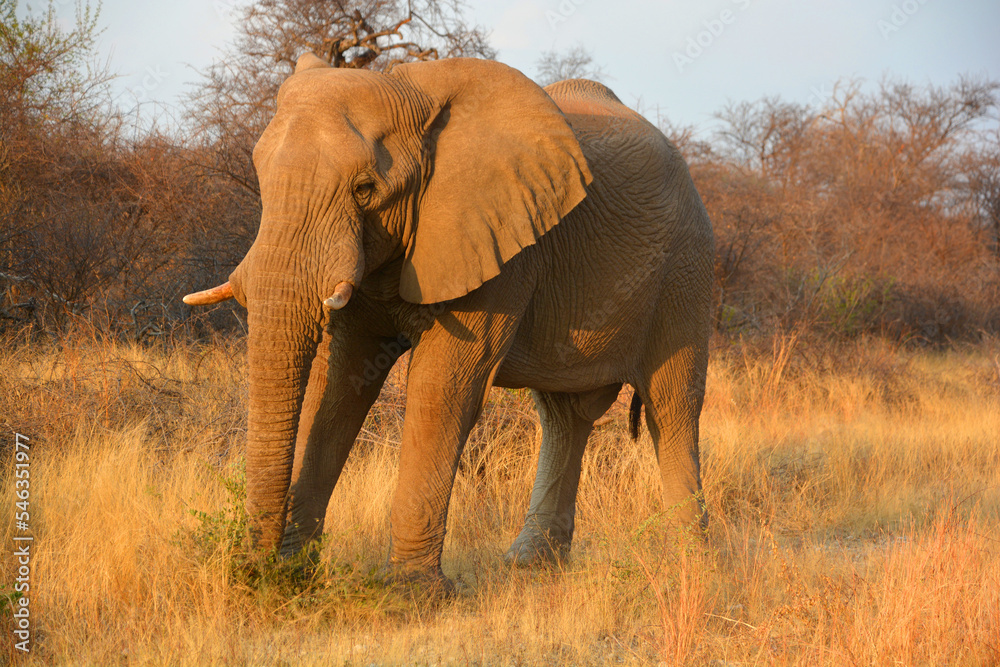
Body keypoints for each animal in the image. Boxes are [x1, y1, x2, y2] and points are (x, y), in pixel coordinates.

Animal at [184, 53, 714, 586]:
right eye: (259, 175)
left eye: (365, 189)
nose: (255, 569)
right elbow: (337, 386)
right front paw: (299, 574)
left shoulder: (502, 243)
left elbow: (440, 390)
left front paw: (408, 592)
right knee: (566, 417)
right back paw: (530, 566)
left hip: (684, 271)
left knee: (671, 407)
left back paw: (689, 569)